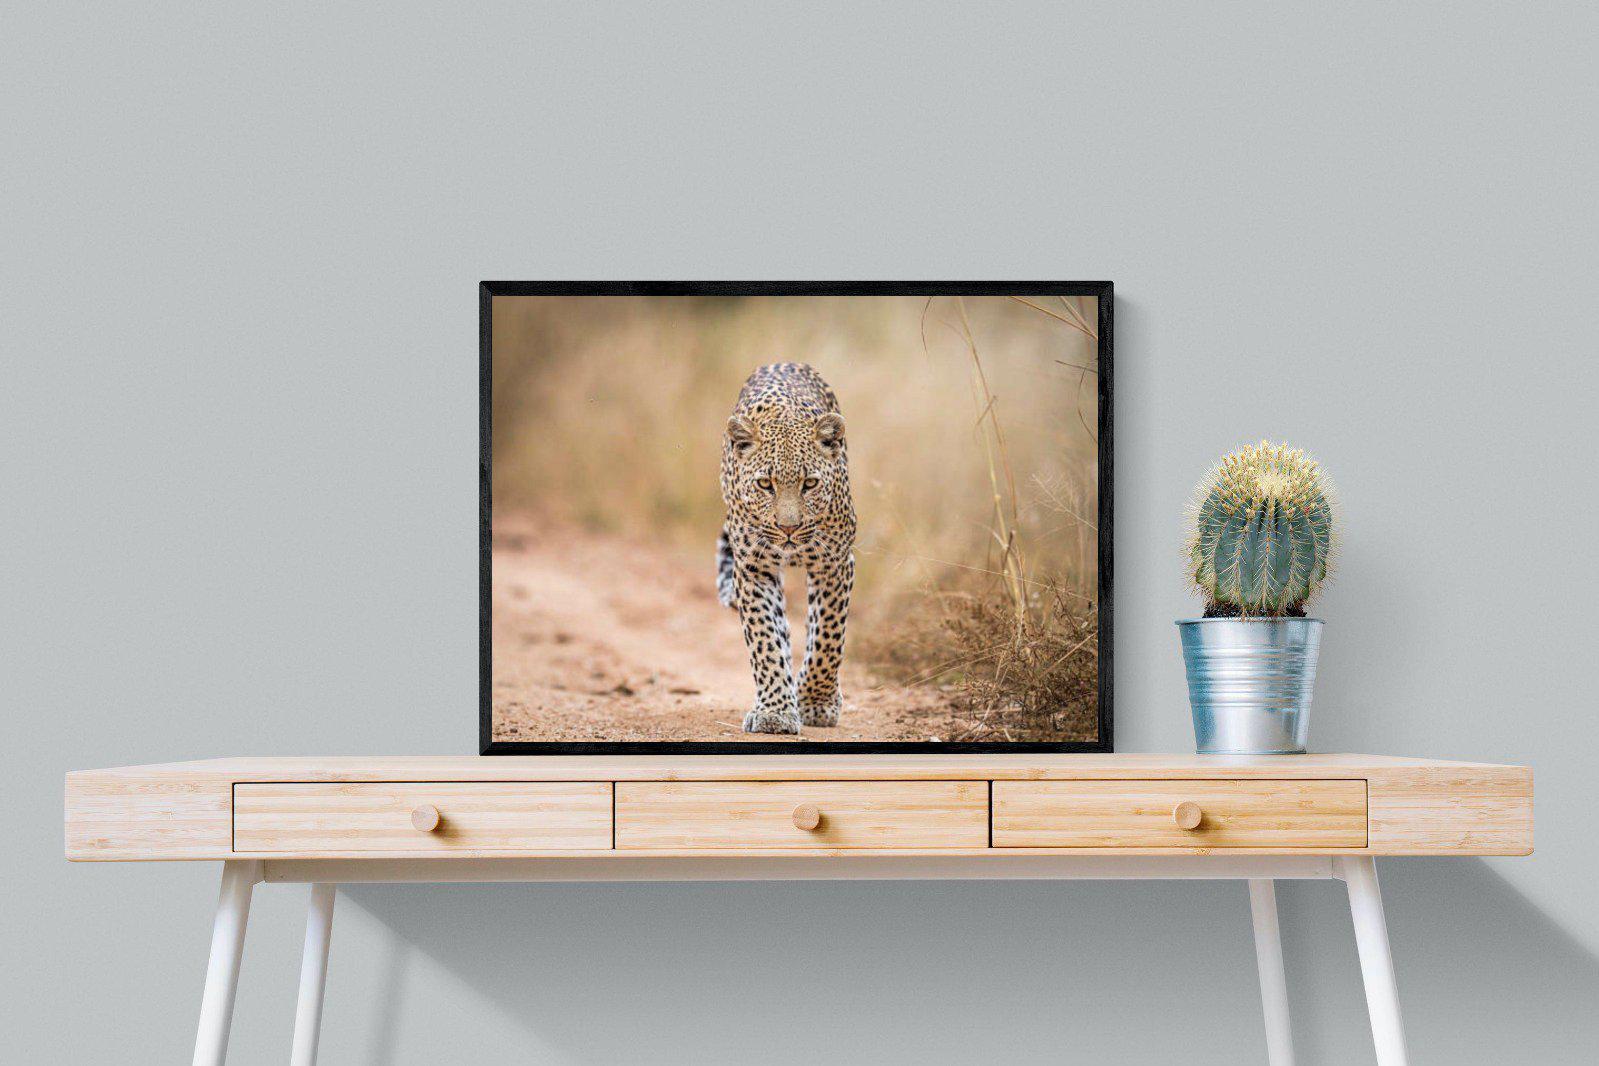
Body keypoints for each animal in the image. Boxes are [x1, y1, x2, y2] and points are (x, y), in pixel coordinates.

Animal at [717, 362, 856, 734]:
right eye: (766, 484)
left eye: (810, 484)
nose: (788, 528)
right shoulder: (753, 568)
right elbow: (765, 639)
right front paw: (775, 711)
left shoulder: (835, 563)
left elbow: (827, 637)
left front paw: (816, 702)